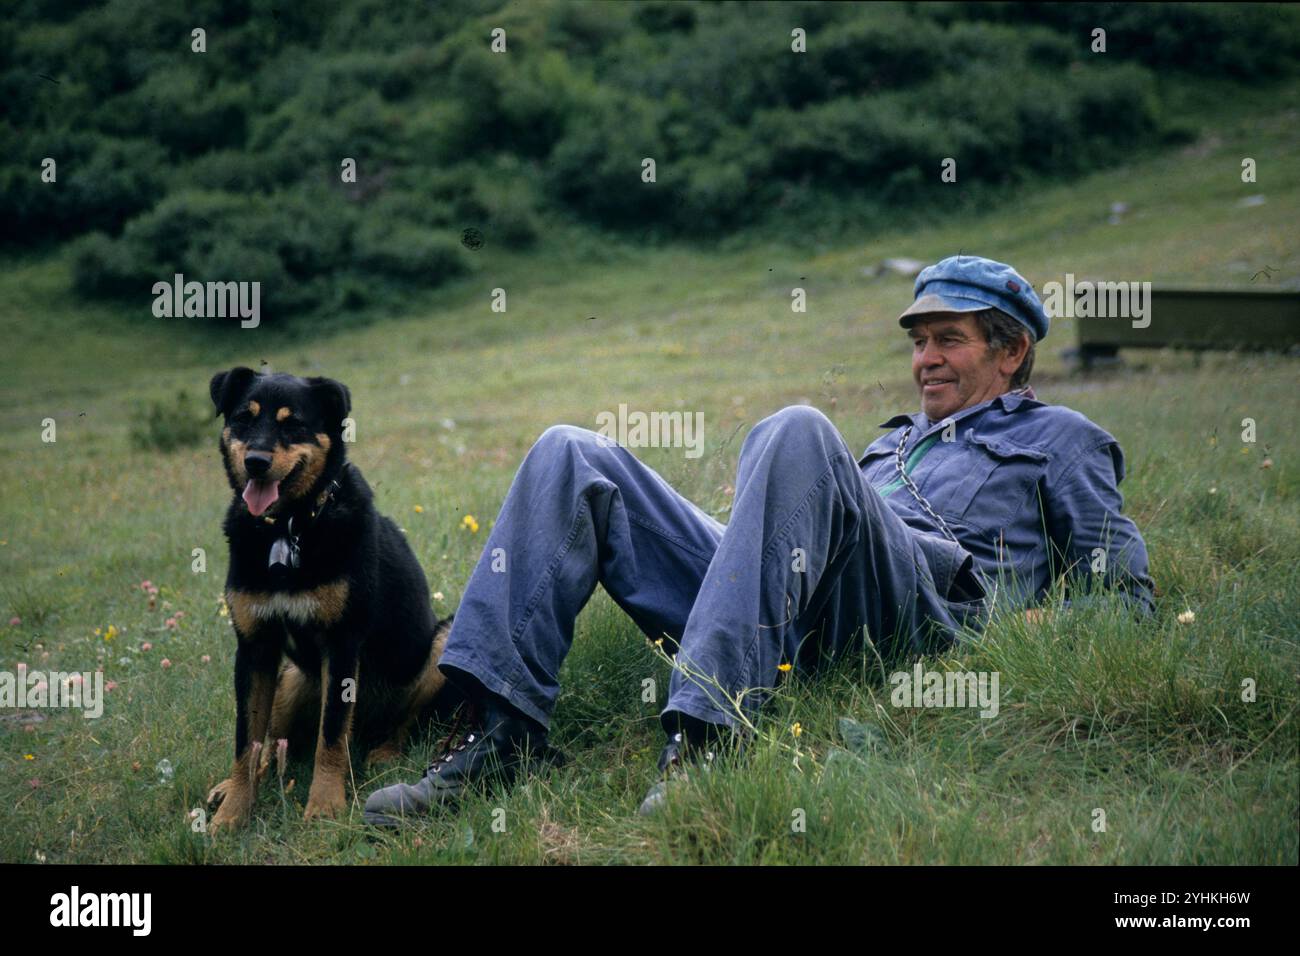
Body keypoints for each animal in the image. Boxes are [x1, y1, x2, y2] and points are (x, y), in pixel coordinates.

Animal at [205, 366, 454, 832]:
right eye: (244, 418)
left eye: (293, 424)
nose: (255, 462)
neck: (288, 528)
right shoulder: (254, 648)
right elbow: (246, 741)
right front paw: (233, 813)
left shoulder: (342, 643)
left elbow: (332, 738)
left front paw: (324, 806)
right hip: (289, 680)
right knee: (272, 743)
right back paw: (231, 787)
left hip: (441, 645)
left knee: (400, 724)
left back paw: (385, 752)